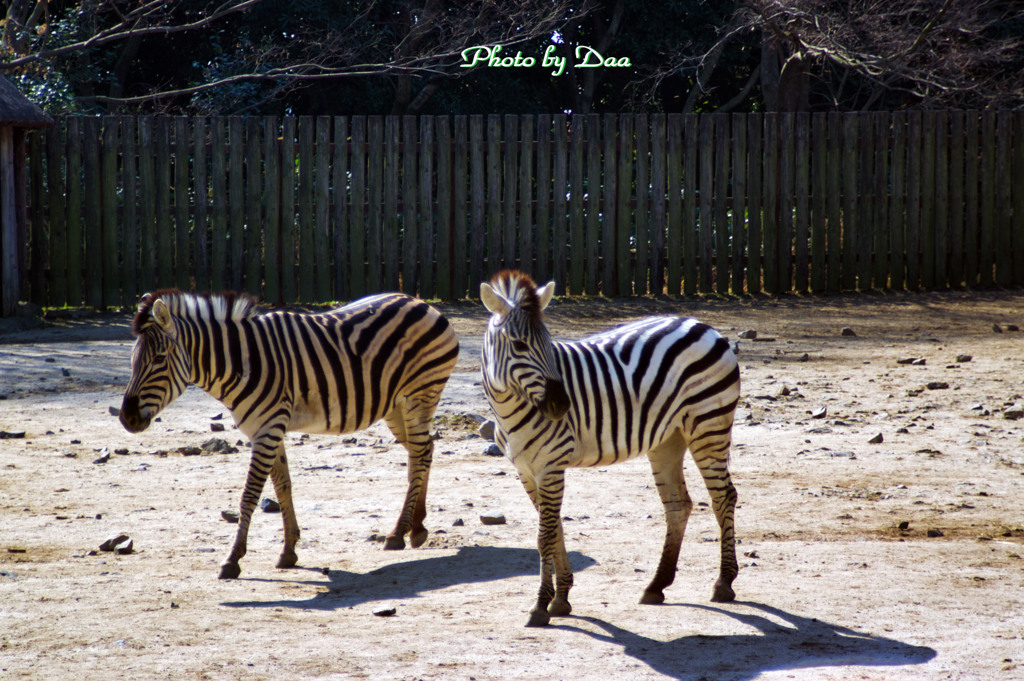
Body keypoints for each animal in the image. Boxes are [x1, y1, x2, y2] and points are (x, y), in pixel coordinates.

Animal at [117, 288, 458, 577]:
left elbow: (249, 496)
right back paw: (416, 527)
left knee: (419, 454)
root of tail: (421, 302)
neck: (241, 364)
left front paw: (233, 559)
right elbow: (283, 488)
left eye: (159, 359)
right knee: (423, 453)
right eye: (132, 360)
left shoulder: (268, 429)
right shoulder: (265, 429)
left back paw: (399, 533)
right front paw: (289, 551)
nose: (126, 418)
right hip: (395, 407)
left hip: (419, 396)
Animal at [479, 270, 737, 626]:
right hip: (668, 439)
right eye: (519, 345)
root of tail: (703, 325)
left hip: (709, 426)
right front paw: (562, 598)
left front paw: (541, 605)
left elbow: (545, 535)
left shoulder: (550, 466)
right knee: (678, 505)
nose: (562, 405)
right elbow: (556, 529)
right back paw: (657, 585)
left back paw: (724, 583)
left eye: (549, 343)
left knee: (723, 497)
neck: (509, 410)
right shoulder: (526, 470)